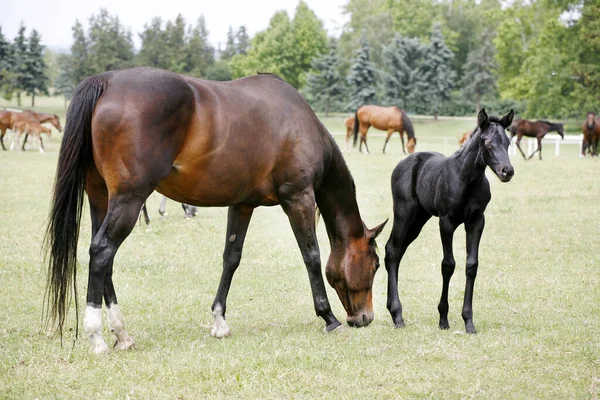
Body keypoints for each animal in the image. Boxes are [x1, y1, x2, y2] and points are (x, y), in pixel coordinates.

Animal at [44, 67, 386, 354]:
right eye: (376, 264)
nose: (365, 318)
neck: (298, 122)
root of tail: (107, 81)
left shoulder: (242, 204)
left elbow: (231, 258)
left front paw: (220, 321)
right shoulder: (298, 198)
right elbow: (311, 255)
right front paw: (328, 317)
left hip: (101, 198)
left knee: (103, 258)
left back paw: (122, 334)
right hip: (129, 199)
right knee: (102, 251)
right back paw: (98, 336)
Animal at [384, 108, 516, 332]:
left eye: (507, 142)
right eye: (488, 142)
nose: (507, 171)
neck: (467, 179)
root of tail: (404, 163)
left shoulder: (476, 221)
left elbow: (471, 265)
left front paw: (469, 322)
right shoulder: (446, 222)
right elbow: (448, 265)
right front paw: (443, 319)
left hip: (419, 220)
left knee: (396, 251)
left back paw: (391, 310)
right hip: (404, 213)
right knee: (392, 251)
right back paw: (397, 315)